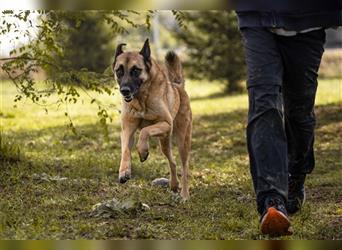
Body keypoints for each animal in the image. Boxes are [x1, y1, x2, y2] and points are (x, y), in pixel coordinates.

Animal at [112, 38, 192, 200]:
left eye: (136, 70)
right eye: (119, 71)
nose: (124, 91)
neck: (141, 99)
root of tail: (178, 86)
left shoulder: (166, 123)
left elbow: (145, 131)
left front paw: (142, 151)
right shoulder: (127, 130)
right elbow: (125, 150)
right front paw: (124, 171)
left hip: (182, 141)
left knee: (184, 168)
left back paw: (185, 195)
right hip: (164, 142)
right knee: (172, 161)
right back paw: (174, 184)